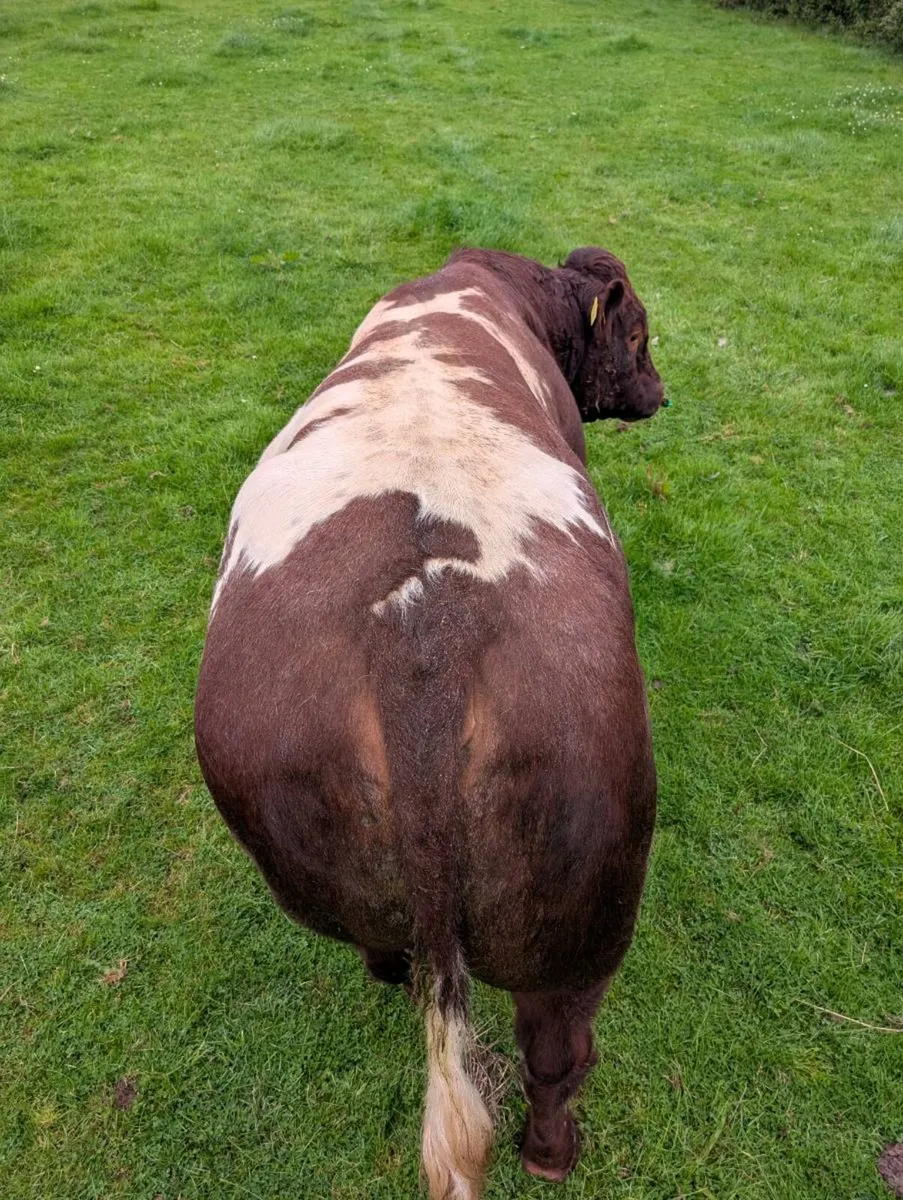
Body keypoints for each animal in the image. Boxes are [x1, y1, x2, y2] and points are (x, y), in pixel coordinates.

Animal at [195, 245, 663, 1198]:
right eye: (637, 335)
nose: (659, 393)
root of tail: (422, 647)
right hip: (588, 910)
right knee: (557, 1051)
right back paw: (553, 1154)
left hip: (311, 843)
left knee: (380, 941)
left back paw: (391, 973)